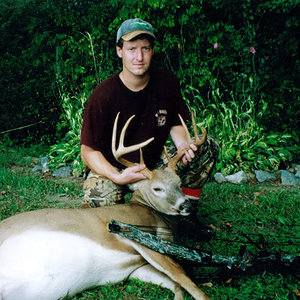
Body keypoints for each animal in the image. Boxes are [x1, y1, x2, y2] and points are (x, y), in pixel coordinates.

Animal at [0, 112, 210, 300]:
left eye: (179, 182)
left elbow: (177, 287)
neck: (150, 212)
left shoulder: (136, 268)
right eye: (157, 188)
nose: (186, 206)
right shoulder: (139, 237)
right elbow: (187, 281)